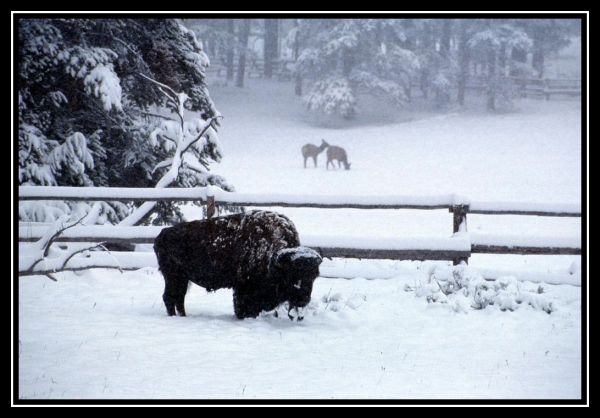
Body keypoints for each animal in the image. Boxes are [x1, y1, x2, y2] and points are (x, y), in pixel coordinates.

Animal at [155, 209, 324, 320]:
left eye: (314, 275)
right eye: (291, 274)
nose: (303, 299)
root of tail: (162, 235)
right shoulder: (244, 290)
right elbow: (244, 308)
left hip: (182, 279)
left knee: (178, 298)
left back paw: (183, 316)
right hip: (174, 277)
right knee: (170, 297)